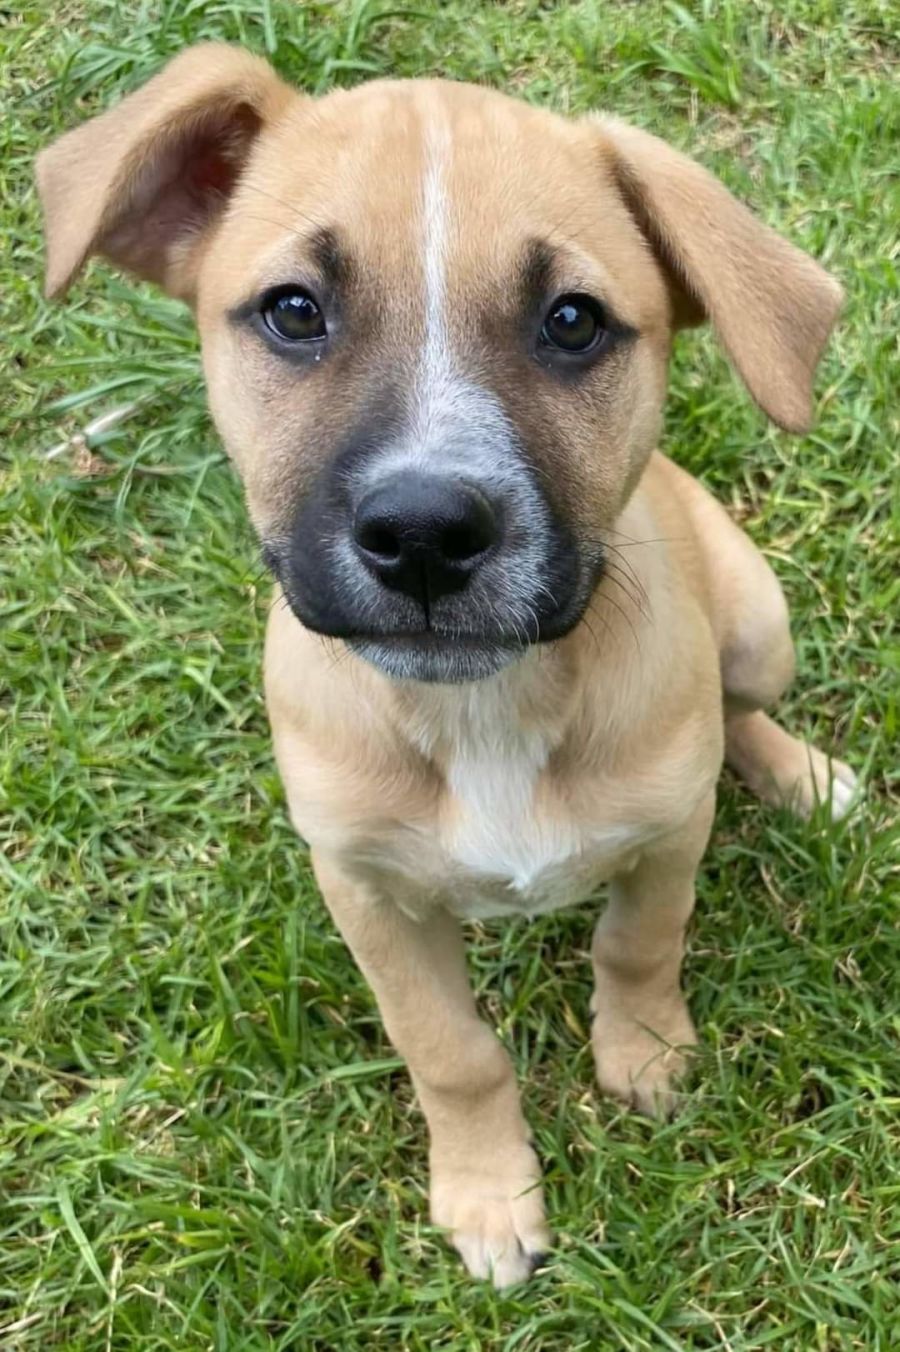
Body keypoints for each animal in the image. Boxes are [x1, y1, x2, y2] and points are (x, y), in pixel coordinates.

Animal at [38, 42, 854, 1287]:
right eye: (293, 311)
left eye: (573, 320)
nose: (423, 531)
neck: (490, 706)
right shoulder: (367, 891)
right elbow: (451, 1049)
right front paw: (487, 1192)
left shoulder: (668, 836)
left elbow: (638, 943)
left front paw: (644, 1056)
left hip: (761, 623)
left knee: (743, 704)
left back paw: (802, 775)